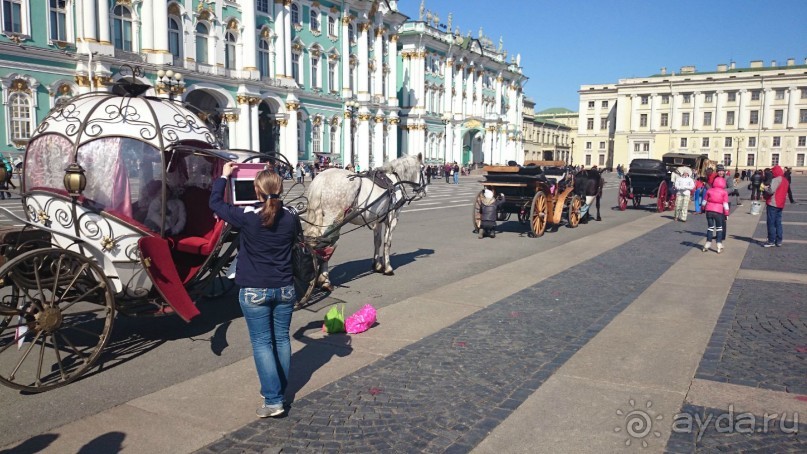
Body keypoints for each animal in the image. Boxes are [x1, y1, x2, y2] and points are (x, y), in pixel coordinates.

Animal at [304, 154, 426, 290]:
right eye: (423, 169)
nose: (424, 191)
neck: (394, 181)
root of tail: (320, 179)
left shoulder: (378, 219)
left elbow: (377, 241)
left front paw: (377, 265)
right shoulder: (392, 217)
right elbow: (387, 242)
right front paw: (388, 268)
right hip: (332, 220)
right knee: (325, 244)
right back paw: (325, 281)